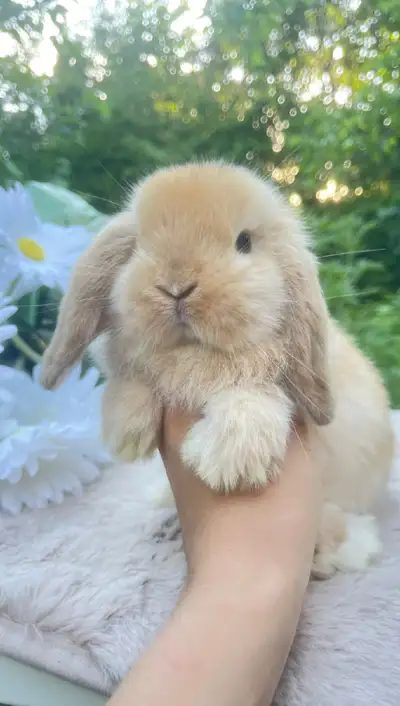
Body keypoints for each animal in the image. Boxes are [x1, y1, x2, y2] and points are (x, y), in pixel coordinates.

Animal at [40, 161, 395, 578]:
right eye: (139, 245)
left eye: (244, 242)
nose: (176, 286)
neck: (195, 358)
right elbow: (134, 377)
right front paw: (126, 429)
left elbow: (253, 396)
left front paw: (228, 460)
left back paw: (327, 549)